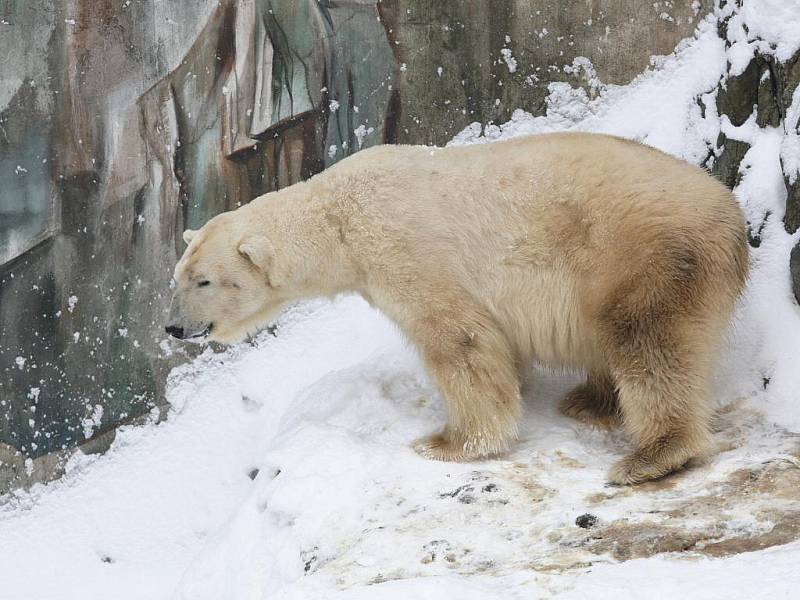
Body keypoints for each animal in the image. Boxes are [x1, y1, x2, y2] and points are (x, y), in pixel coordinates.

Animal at [164, 131, 752, 482]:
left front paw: (449, 443)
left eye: (204, 280)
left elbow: (459, 341)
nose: (173, 328)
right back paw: (590, 400)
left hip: (643, 256)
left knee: (649, 342)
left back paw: (652, 454)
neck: (339, 219)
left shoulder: (407, 254)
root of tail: (730, 213)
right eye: (177, 278)